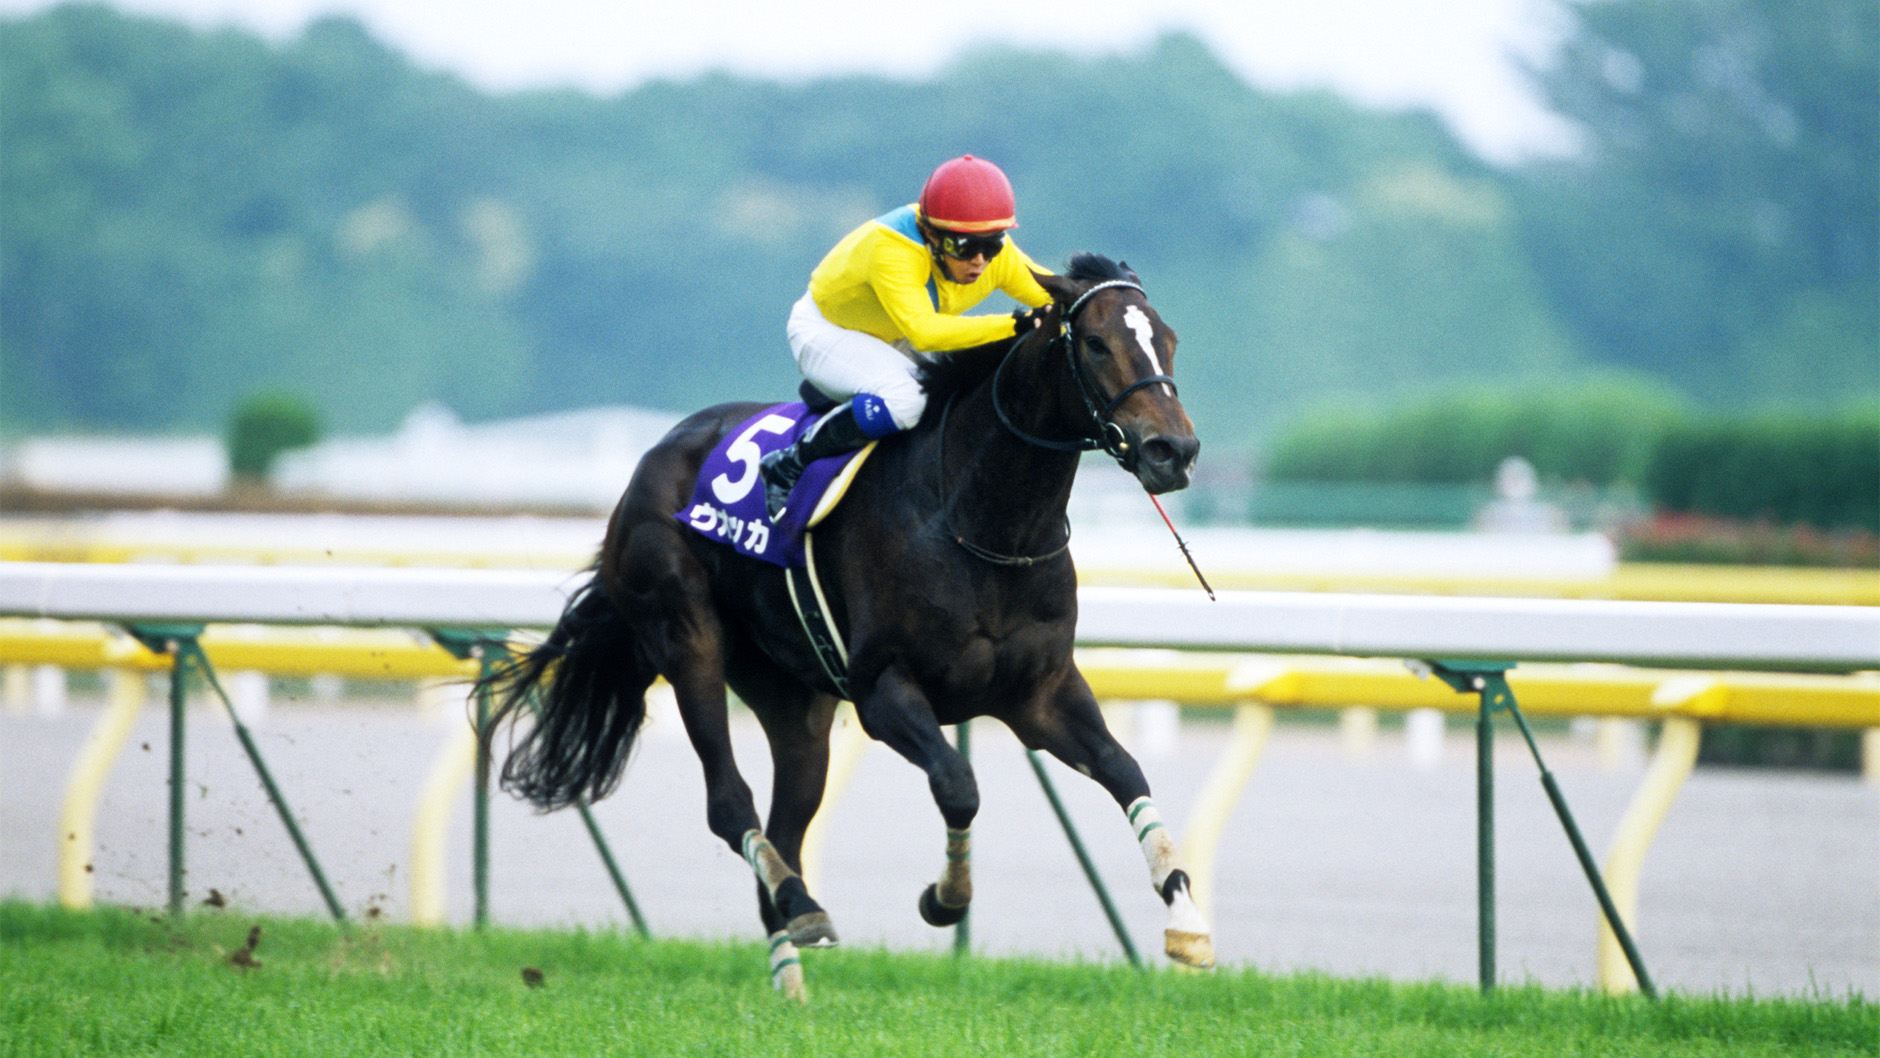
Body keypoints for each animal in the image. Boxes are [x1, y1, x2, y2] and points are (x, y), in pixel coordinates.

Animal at [483, 253, 1209, 999]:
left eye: (1168, 339)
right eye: (1095, 344)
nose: (1173, 449)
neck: (978, 521)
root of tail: (650, 462)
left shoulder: (1040, 694)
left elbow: (1124, 770)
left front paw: (1185, 915)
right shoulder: (883, 692)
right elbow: (958, 785)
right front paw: (944, 899)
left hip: (793, 701)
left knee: (785, 823)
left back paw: (793, 982)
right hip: (686, 637)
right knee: (730, 804)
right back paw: (802, 906)